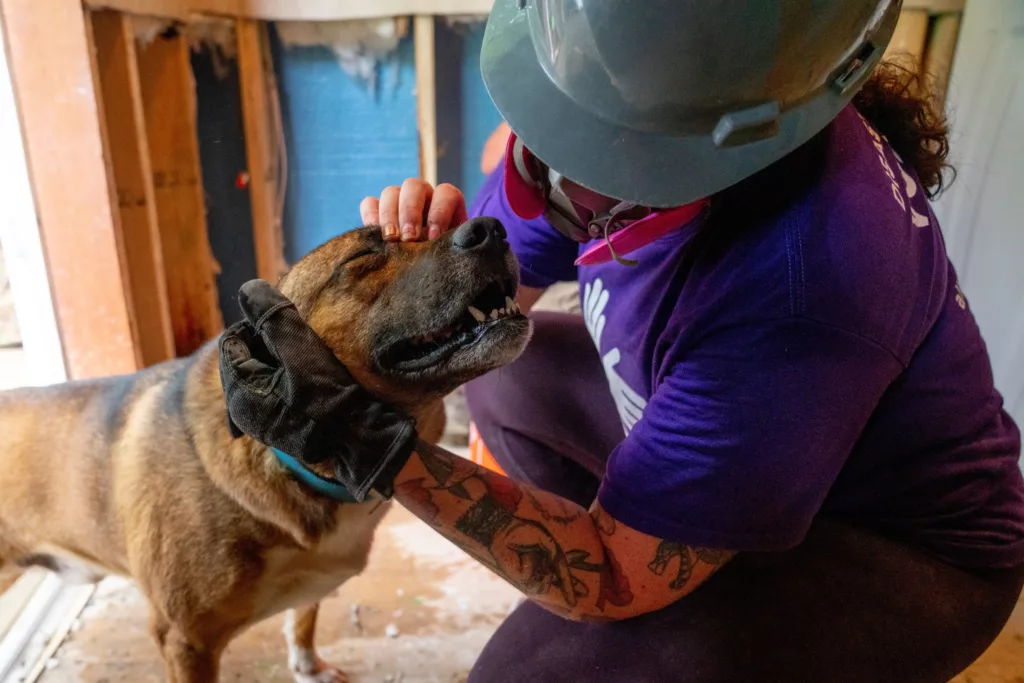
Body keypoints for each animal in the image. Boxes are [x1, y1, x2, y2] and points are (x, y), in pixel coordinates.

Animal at [0, 216, 532, 679]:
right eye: (362, 255)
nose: (492, 229)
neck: (300, 465)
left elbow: (303, 618)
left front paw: (308, 667)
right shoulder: (184, 640)